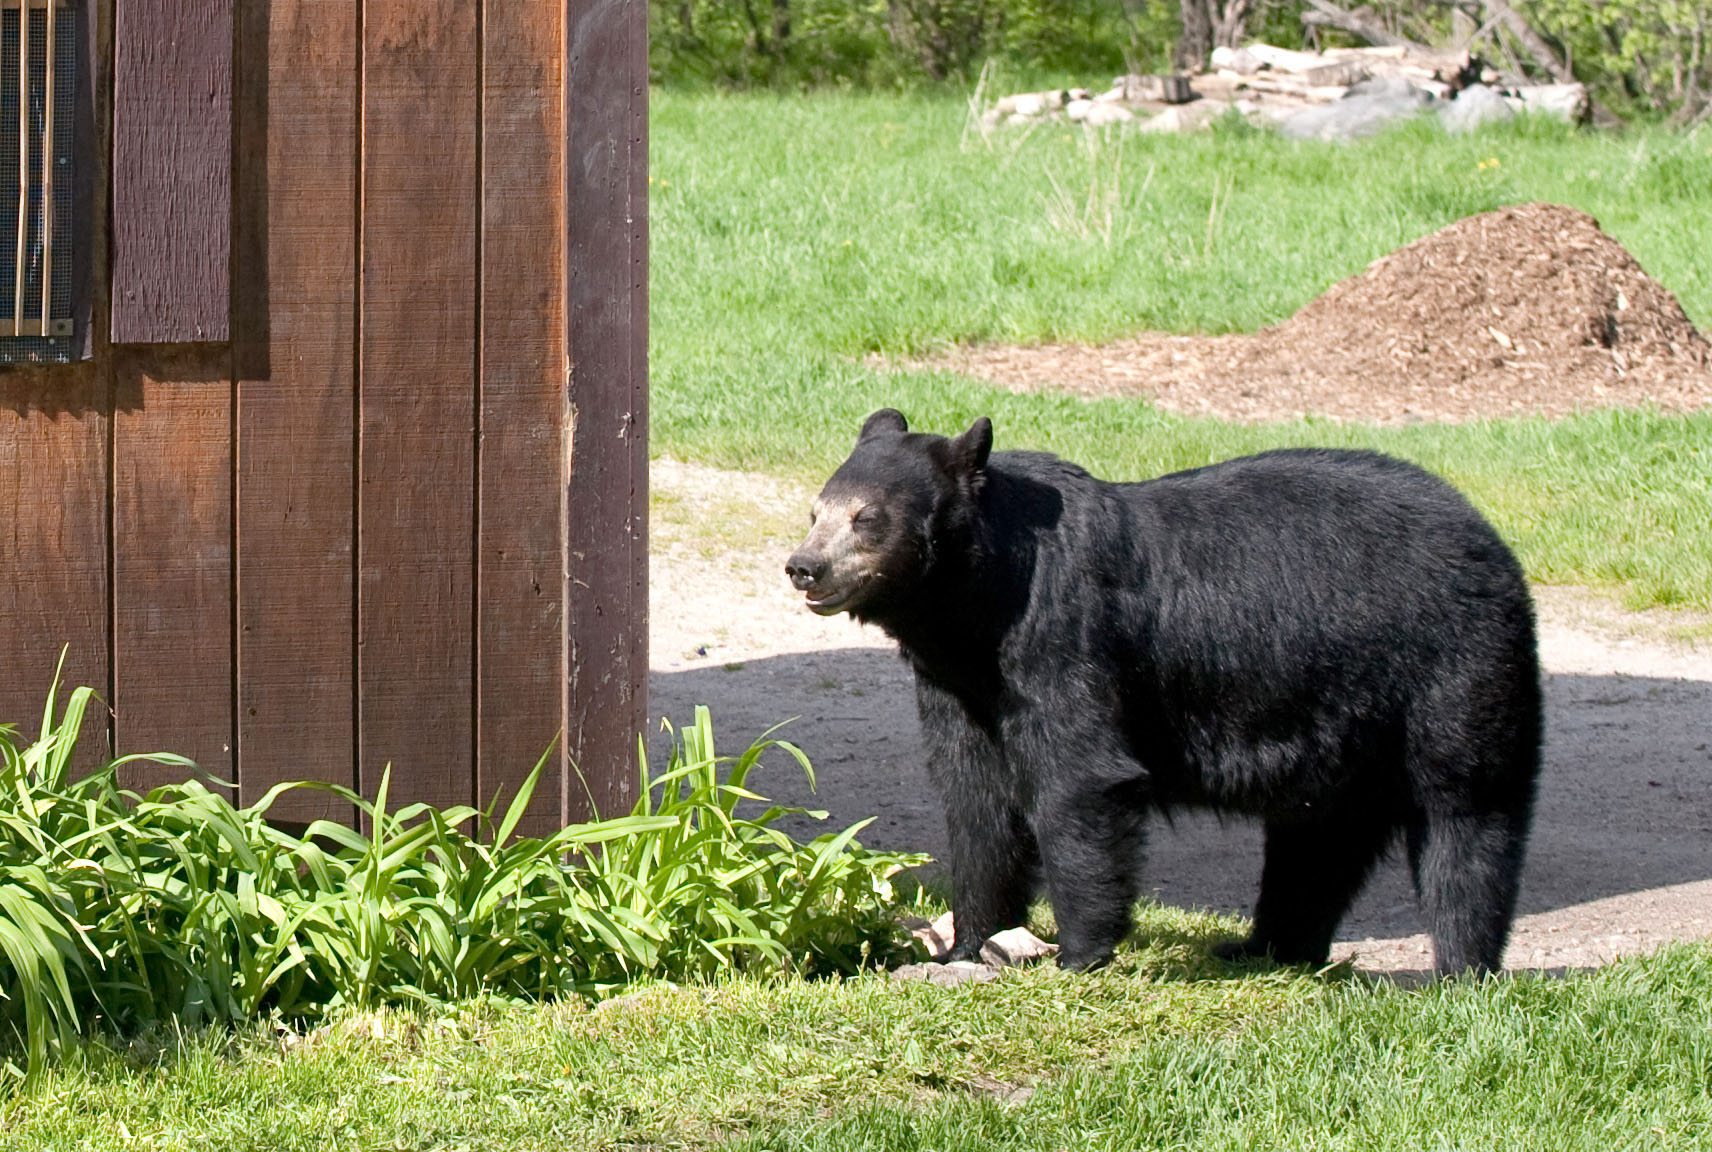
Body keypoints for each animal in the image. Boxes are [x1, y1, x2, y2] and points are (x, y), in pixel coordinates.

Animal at [785, 409, 1542, 976]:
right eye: (817, 510)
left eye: (866, 518)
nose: (804, 567)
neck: (979, 603)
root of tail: (1491, 537)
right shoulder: (959, 682)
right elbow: (976, 798)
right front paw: (969, 941)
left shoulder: (1063, 636)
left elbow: (1082, 779)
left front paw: (1078, 950)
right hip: (1345, 724)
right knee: (1316, 841)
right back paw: (1265, 946)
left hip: (1447, 668)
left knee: (1467, 815)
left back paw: (1459, 964)